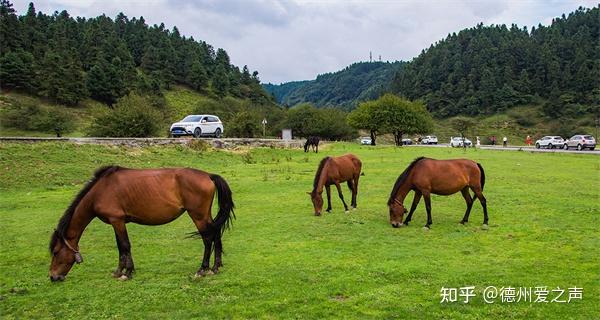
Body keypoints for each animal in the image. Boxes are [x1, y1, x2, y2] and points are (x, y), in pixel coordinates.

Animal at [48, 166, 234, 282]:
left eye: (56, 252)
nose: (53, 277)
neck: (101, 190)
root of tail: (208, 175)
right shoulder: (117, 222)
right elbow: (120, 247)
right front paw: (119, 271)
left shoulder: (117, 220)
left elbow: (125, 245)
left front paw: (127, 273)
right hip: (205, 216)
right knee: (216, 234)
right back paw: (215, 267)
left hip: (198, 216)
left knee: (207, 239)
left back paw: (202, 269)